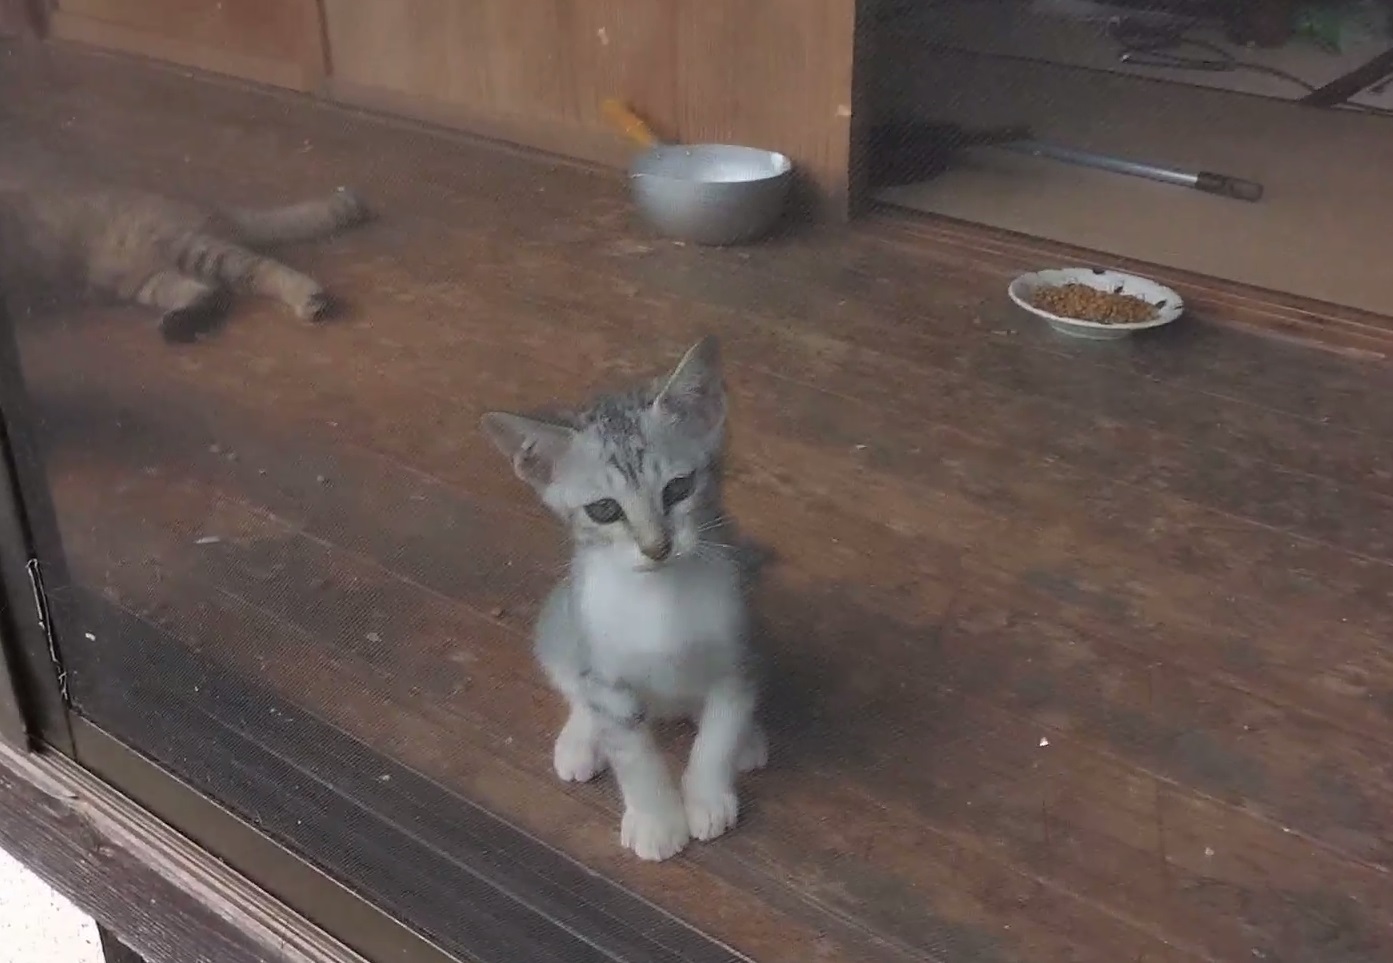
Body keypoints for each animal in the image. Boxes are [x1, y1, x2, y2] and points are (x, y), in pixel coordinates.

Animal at [0, 180, 370, 341]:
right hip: (148, 279)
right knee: (210, 293)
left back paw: (310, 299)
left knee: (262, 269)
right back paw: (177, 324)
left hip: (193, 250)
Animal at [481, 336, 767, 862]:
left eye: (679, 488)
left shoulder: (736, 654)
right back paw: (580, 740)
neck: (660, 597)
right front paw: (657, 820)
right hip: (561, 623)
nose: (657, 547)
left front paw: (707, 796)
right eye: (604, 510)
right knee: (576, 686)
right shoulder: (608, 679)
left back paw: (749, 739)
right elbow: (634, 756)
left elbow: (718, 734)